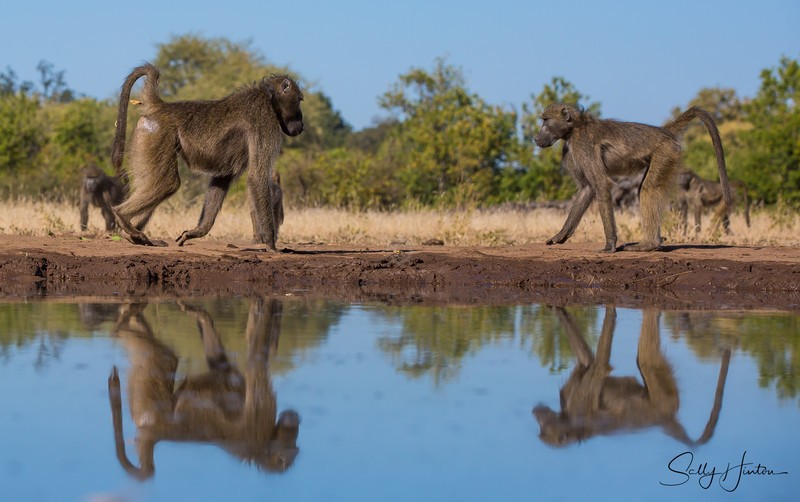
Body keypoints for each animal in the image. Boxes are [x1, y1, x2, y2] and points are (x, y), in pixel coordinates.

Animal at [107, 297, 299, 480]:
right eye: (291, 443)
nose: (296, 419)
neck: (261, 452)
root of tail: (156, 434)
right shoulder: (261, 424)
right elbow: (255, 361)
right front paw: (267, 304)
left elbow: (225, 371)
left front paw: (201, 316)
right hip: (155, 408)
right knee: (167, 357)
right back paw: (119, 328)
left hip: (146, 406)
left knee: (162, 357)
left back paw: (125, 318)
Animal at [110, 63, 303, 248]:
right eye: (299, 100)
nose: (302, 125)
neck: (269, 97)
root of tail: (161, 106)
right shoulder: (265, 119)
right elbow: (257, 177)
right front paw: (271, 245)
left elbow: (223, 177)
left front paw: (196, 232)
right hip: (157, 135)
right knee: (168, 182)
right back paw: (124, 218)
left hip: (145, 138)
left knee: (150, 181)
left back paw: (134, 236)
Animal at [533, 104, 733, 252]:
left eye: (546, 120)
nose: (536, 138)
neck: (575, 127)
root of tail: (663, 131)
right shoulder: (570, 151)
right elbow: (587, 189)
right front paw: (561, 235)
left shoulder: (582, 145)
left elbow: (600, 185)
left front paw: (610, 244)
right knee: (644, 190)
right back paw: (653, 243)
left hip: (666, 151)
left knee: (648, 189)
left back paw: (649, 245)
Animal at [533, 306, 730, 447]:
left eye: (543, 430)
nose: (536, 413)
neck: (573, 427)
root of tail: (665, 419)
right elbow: (586, 362)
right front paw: (558, 309)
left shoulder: (579, 405)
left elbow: (599, 366)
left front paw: (610, 308)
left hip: (664, 400)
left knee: (644, 361)